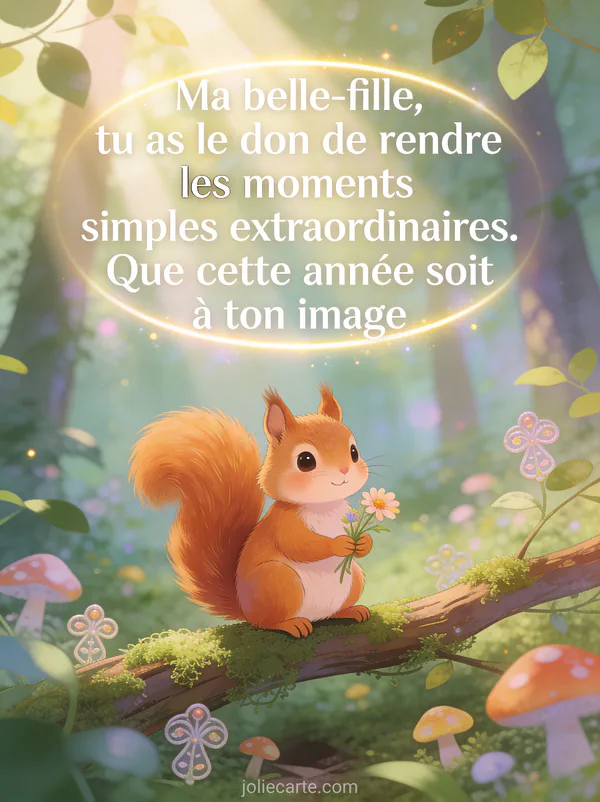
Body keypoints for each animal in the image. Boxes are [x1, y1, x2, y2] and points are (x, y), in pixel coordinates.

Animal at [129, 385, 372, 638]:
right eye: (305, 460)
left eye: (354, 451)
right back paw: (291, 624)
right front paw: (338, 544)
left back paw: (351, 610)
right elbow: (299, 545)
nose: (344, 470)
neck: (323, 505)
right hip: (278, 581)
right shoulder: (283, 524)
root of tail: (244, 609)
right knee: (265, 622)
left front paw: (364, 542)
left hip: (354, 577)